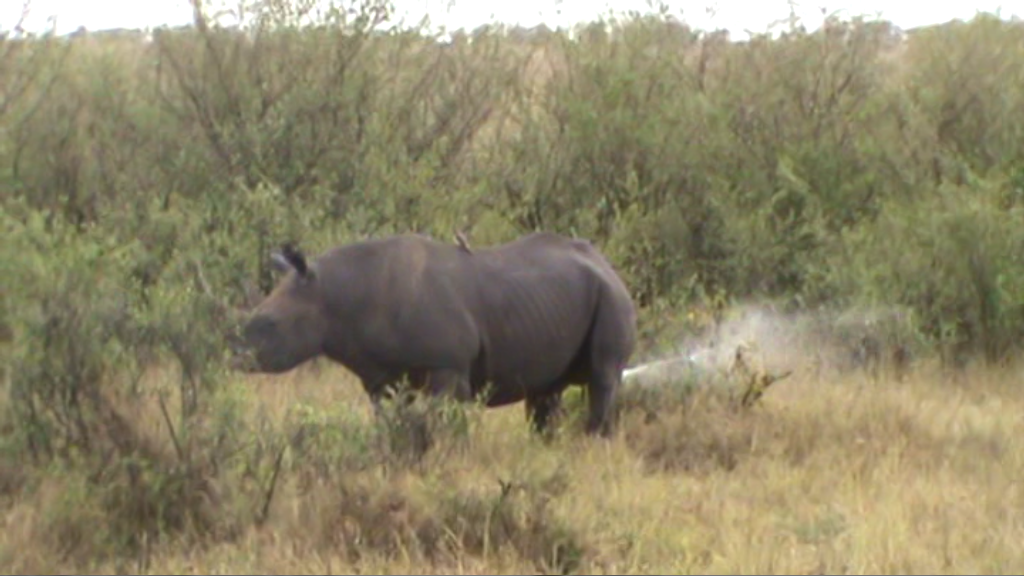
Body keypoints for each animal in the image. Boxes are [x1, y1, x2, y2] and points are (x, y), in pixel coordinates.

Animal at [235, 232, 638, 437]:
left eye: (269, 324)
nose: (237, 358)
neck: (335, 293)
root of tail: (606, 263)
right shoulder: (379, 375)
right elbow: (389, 423)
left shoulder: (448, 367)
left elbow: (446, 424)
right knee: (545, 393)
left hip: (612, 296)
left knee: (602, 378)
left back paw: (591, 444)